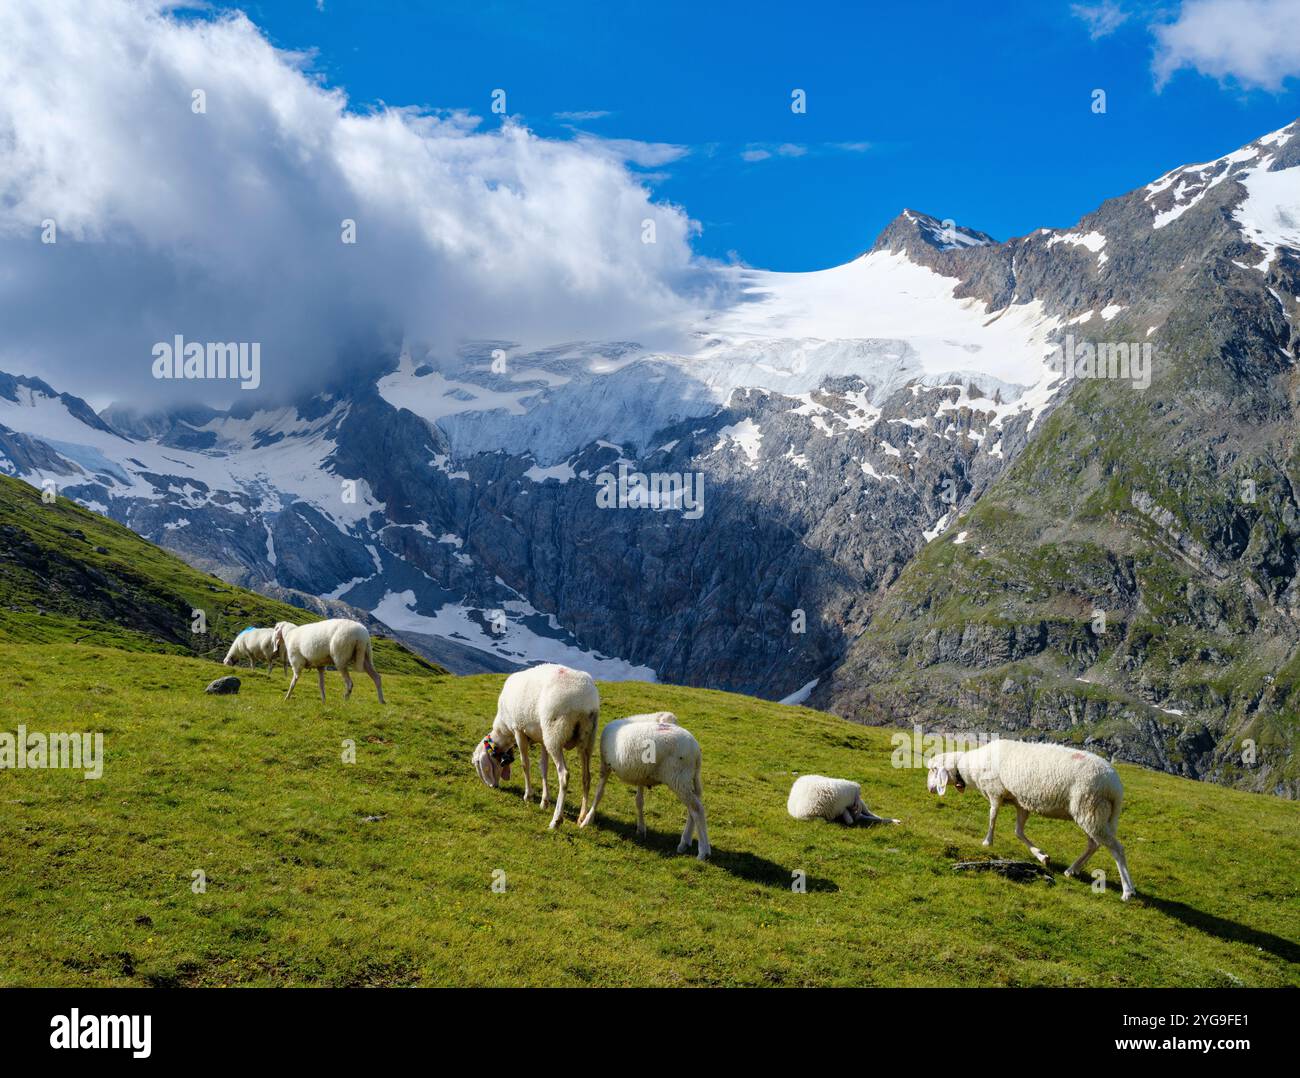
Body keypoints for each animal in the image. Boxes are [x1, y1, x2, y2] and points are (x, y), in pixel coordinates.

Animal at [473, 660, 598, 827]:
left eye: (478, 765)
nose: (493, 787)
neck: (504, 732)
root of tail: (584, 701)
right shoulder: (542, 739)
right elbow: (543, 767)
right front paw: (544, 801)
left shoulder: (518, 730)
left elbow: (525, 764)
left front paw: (528, 795)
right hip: (586, 738)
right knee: (586, 777)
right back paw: (582, 817)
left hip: (554, 734)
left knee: (564, 774)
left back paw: (556, 820)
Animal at [579, 712, 712, 863]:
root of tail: (696, 752)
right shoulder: (640, 775)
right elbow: (639, 801)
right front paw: (641, 828)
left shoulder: (605, 765)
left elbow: (599, 793)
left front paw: (587, 820)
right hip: (688, 779)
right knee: (692, 808)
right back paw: (685, 843)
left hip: (678, 778)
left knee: (697, 809)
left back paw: (703, 852)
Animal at [930, 738, 1133, 899]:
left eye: (933, 769)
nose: (931, 789)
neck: (969, 768)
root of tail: (1115, 787)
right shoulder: (1021, 803)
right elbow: (1018, 832)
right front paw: (1042, 856)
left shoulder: (995, 792)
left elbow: (992, 817)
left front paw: (987, 841)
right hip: (1097, 814)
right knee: (1094, 844)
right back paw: (1071, 870)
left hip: (1090, 807)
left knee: (1116, 849)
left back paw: (1127, 891)